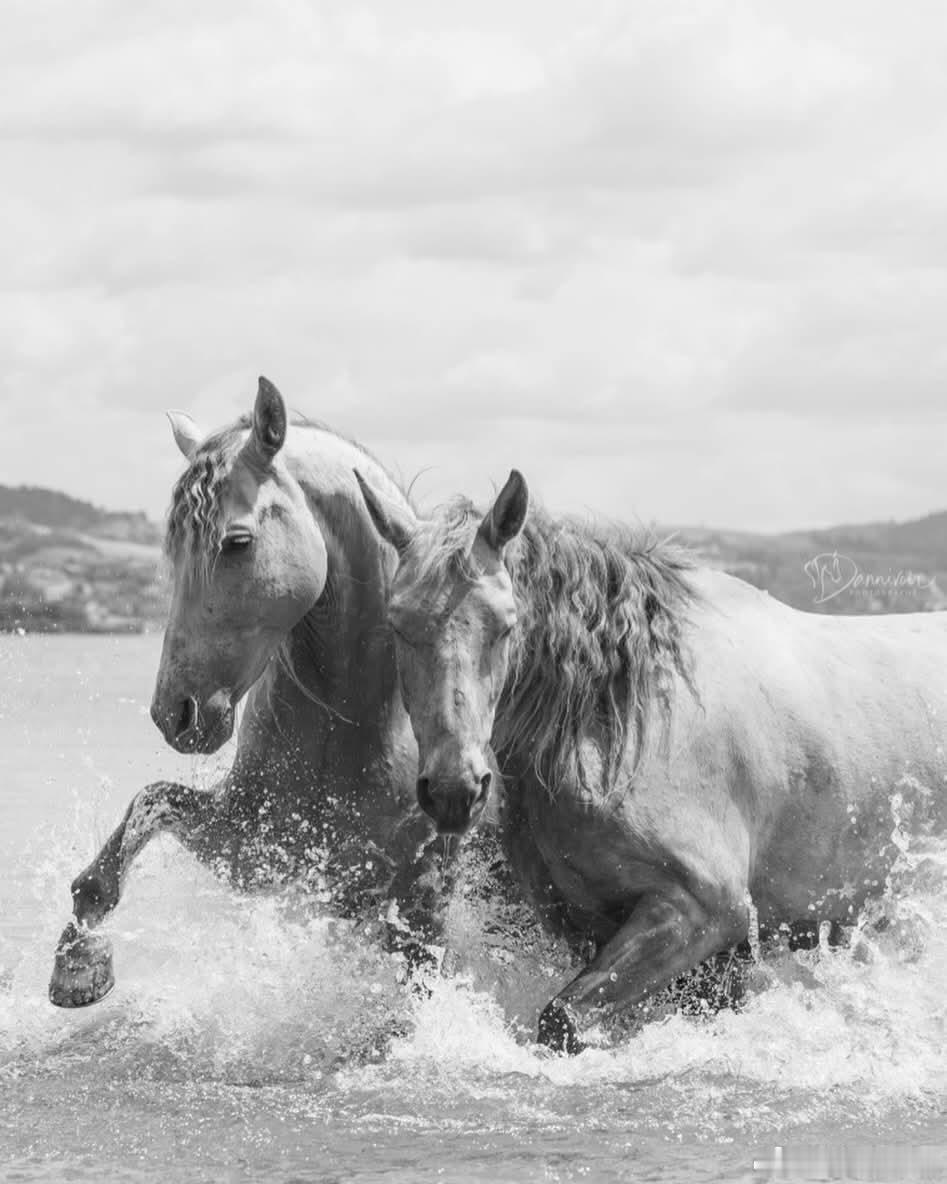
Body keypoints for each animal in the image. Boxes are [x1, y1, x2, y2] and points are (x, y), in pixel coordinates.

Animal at [48, 377, 461, 1008]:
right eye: (172, 549)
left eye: (238, 541)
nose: (175, 714)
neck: (348, 729)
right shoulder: (252, 848)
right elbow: (149, 804)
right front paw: (76, 961)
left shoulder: (406, 895)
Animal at [353, 467, 947, 1054]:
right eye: (398, 624)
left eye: (505, 624)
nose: (454, 791)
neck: (624, 721)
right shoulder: (596, 927)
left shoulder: (704, 911)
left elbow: (563, 1020)